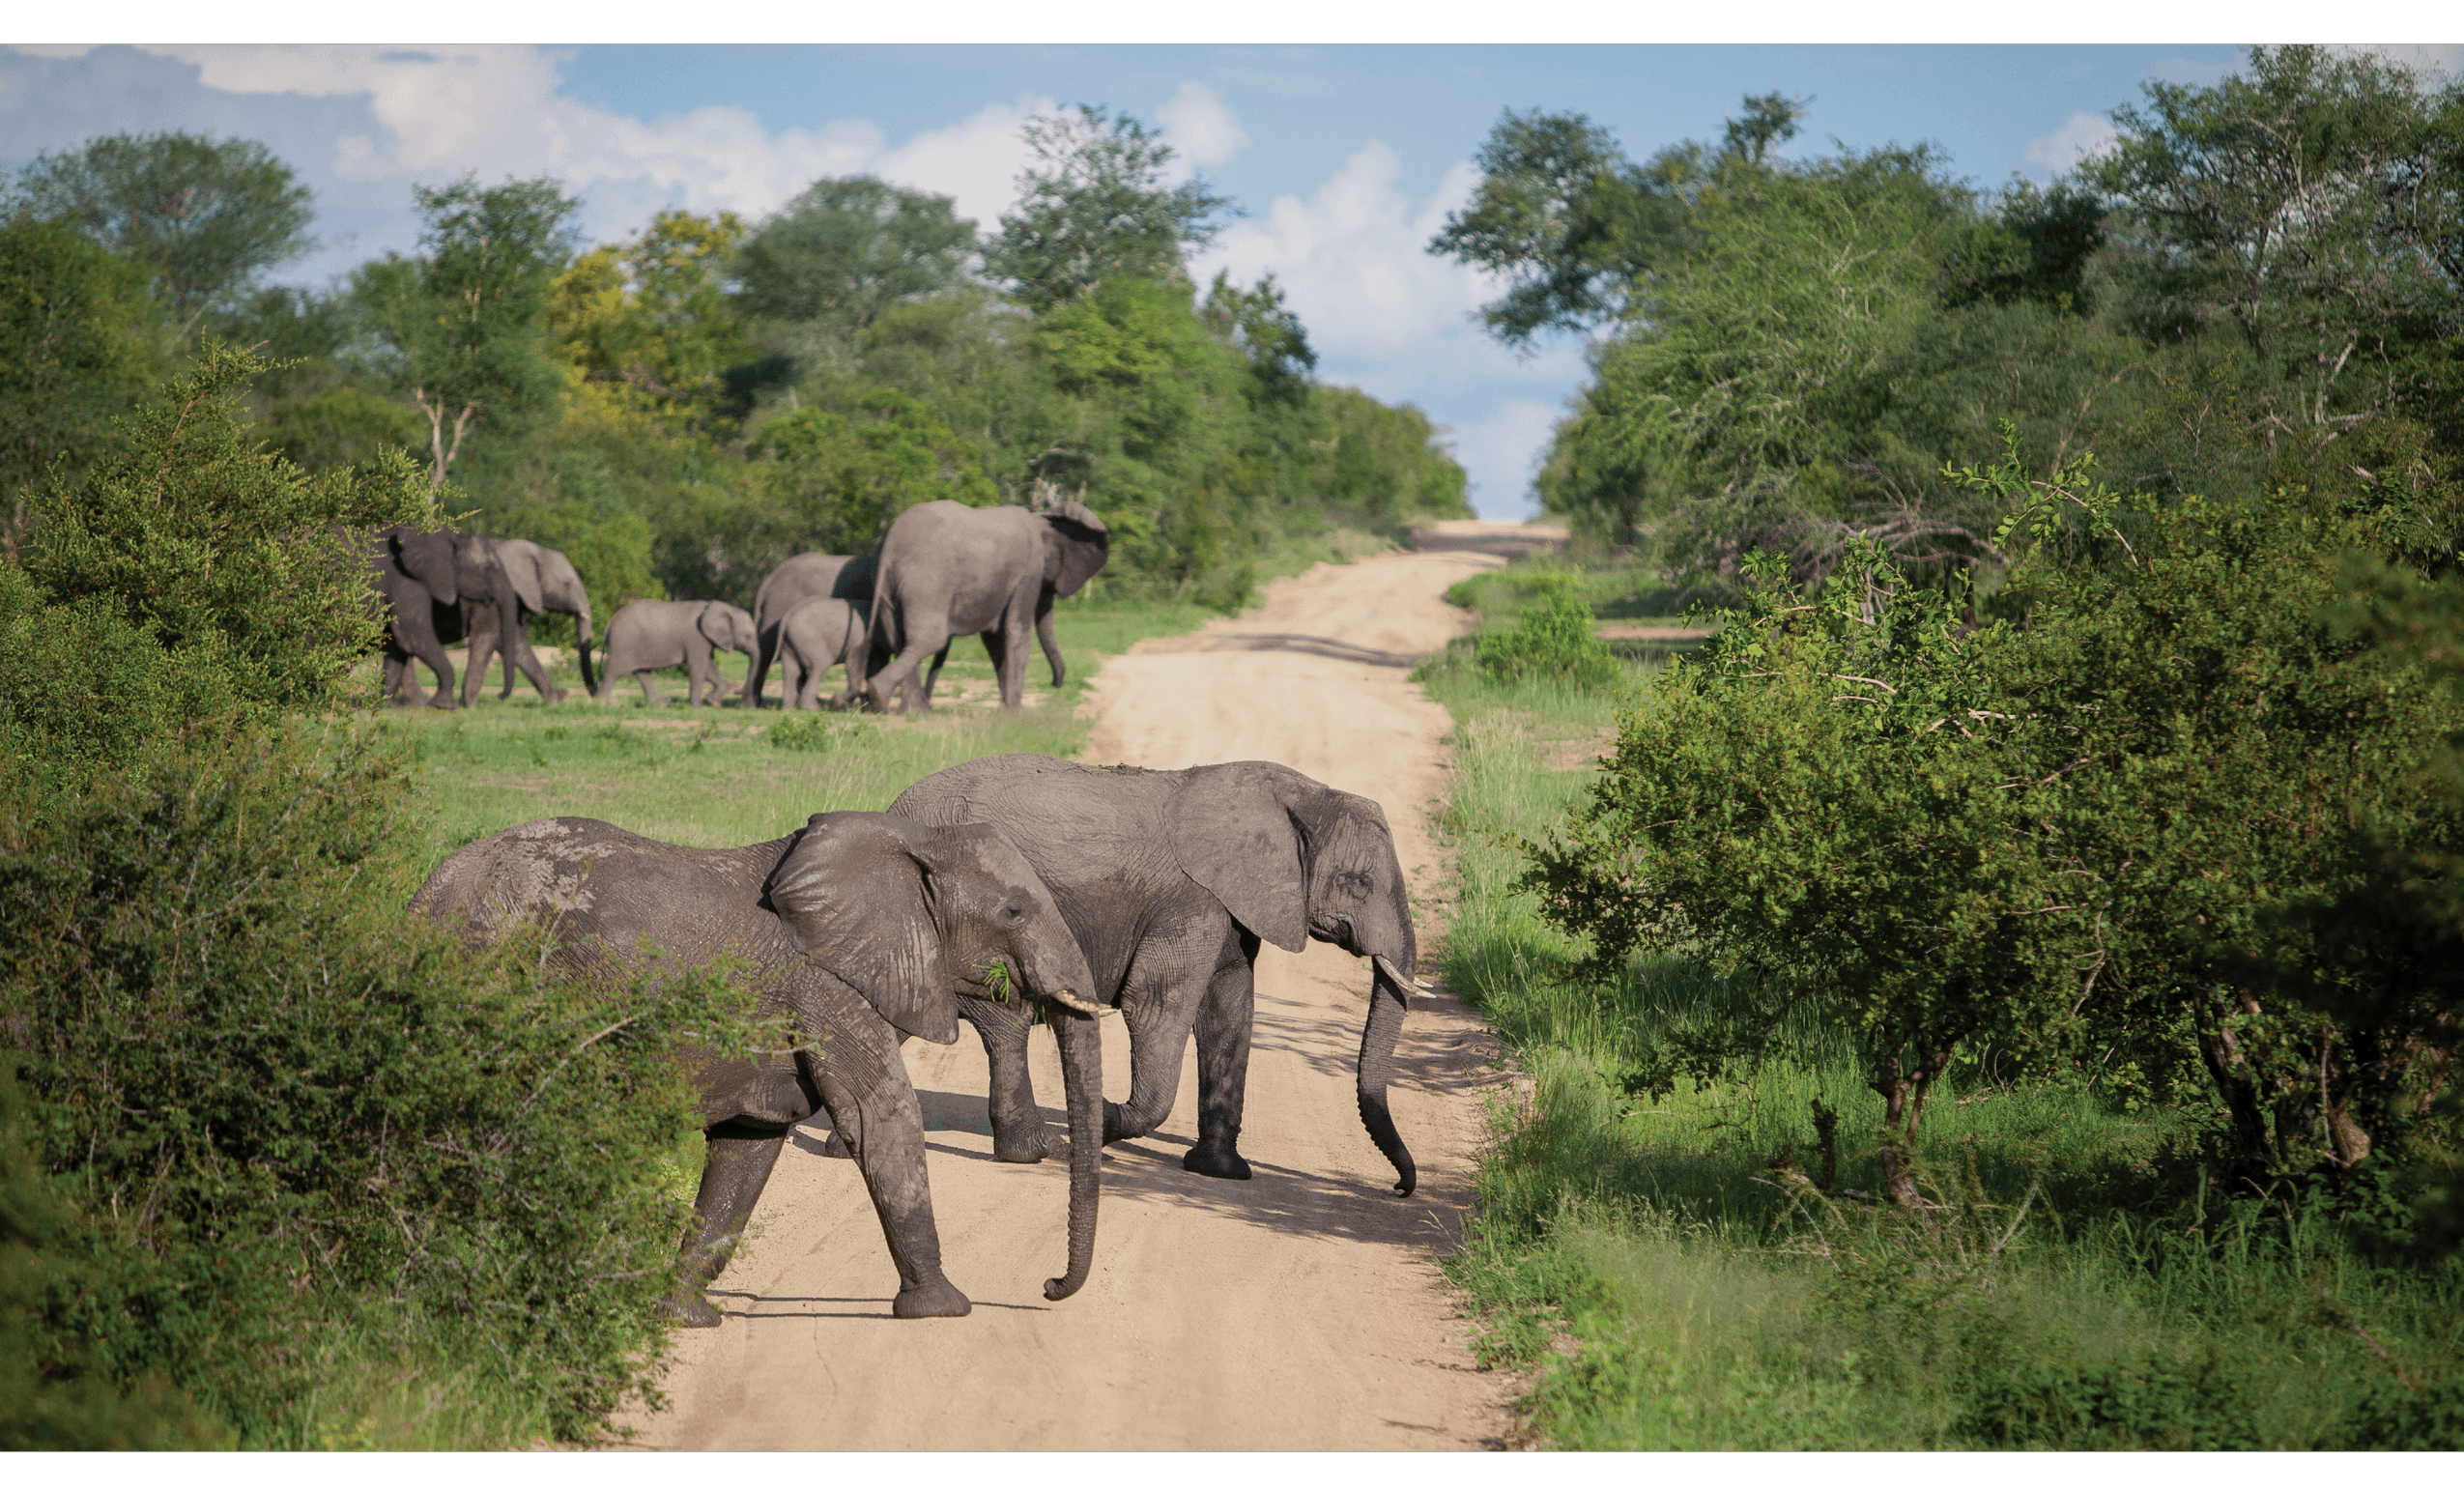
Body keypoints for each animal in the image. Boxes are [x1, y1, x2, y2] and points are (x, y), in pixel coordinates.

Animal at [410, 810, 1108, 1324]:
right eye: (1014, 910)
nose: (1047, 1286)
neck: (914, 840)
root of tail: (425, 895)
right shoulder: (825, 984)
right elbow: (879, 1115)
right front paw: (943, 1309)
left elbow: (749, 1145)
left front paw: (681, 1317)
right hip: (492, 974)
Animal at [460, 536, 598, 705]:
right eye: (567, 584)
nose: (499, 695)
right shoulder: (489, 599)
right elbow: (486, 638)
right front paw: (469, 704)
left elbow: (516, 645)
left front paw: (556, 698)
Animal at [597, 599, 759, 706]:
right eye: (748, 637)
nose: (740, 695)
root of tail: (610, 623)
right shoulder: (696, 638)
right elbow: (698, 667)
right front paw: (697, 708)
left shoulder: (704, 640)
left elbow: (708, 667)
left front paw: (713, 702)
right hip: (623, 644)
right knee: (614, 672)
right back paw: (599, 704)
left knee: (642, 673)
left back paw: (662, 704)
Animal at [861, 500, 1108, 714]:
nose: (1055, 684)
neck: (1042, 519)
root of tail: (891, 540)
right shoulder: (1029, 571)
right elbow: (1017, 630)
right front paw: (1017, 712)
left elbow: (994, 639)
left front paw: (1007, 708)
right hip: (928, 581)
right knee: (929, 640)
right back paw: (884, 698)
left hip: (888, 584)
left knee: (899, 640)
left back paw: (913, 711)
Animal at [890, 754, 1424, 1195]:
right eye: (1360, 884)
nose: (1398, 1189)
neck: (1298, 795)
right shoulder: (1190, 903)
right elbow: (1155, 1004)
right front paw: (1102, 1121)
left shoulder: (1229, 907)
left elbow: (1229, 1010)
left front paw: (1221, 1172)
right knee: (1006, 1022)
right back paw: (1035, 1150)